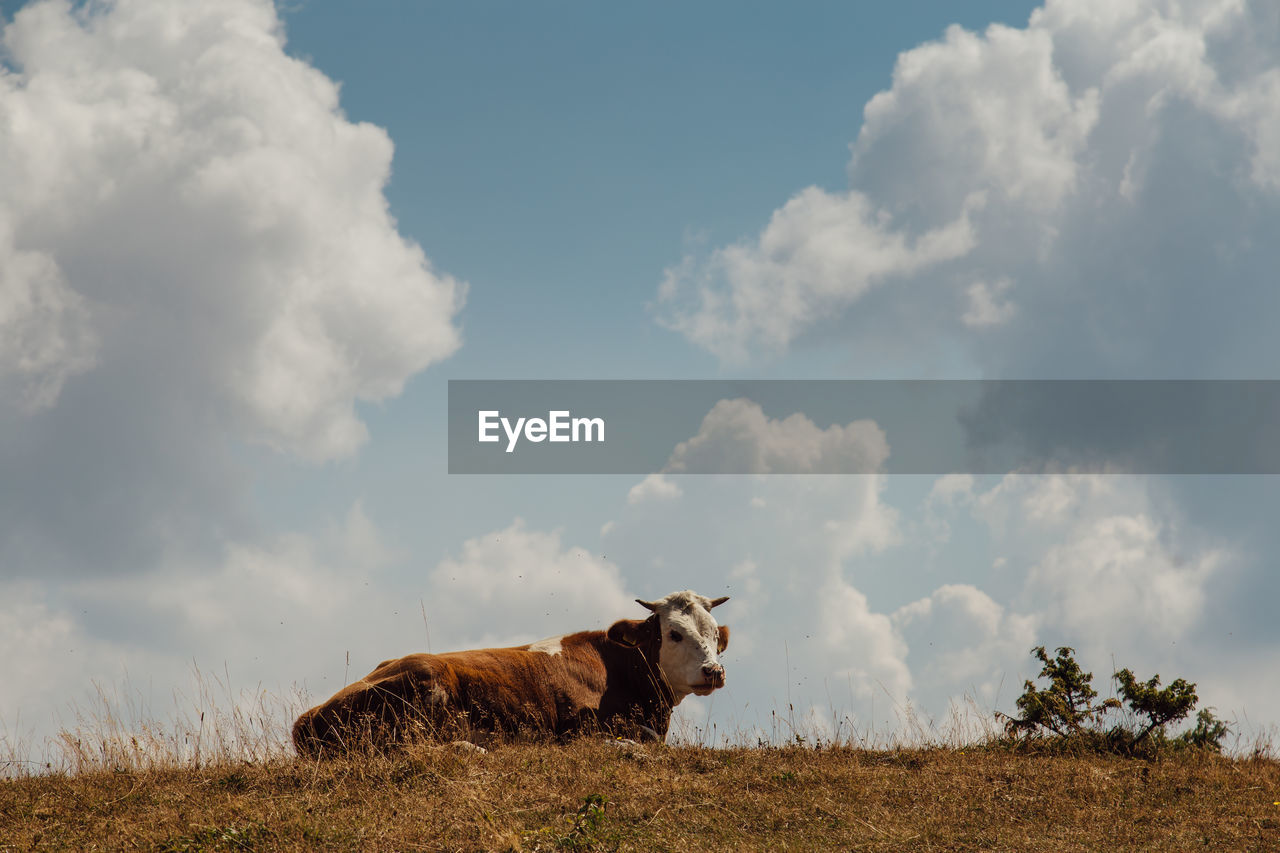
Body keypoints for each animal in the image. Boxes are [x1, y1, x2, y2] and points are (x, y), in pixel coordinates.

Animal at [291, 589, 732, 753]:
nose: (714, 671)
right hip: (424, 685)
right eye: (674, 633)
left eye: (714, 634)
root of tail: (306, 718)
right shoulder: (574, 728)